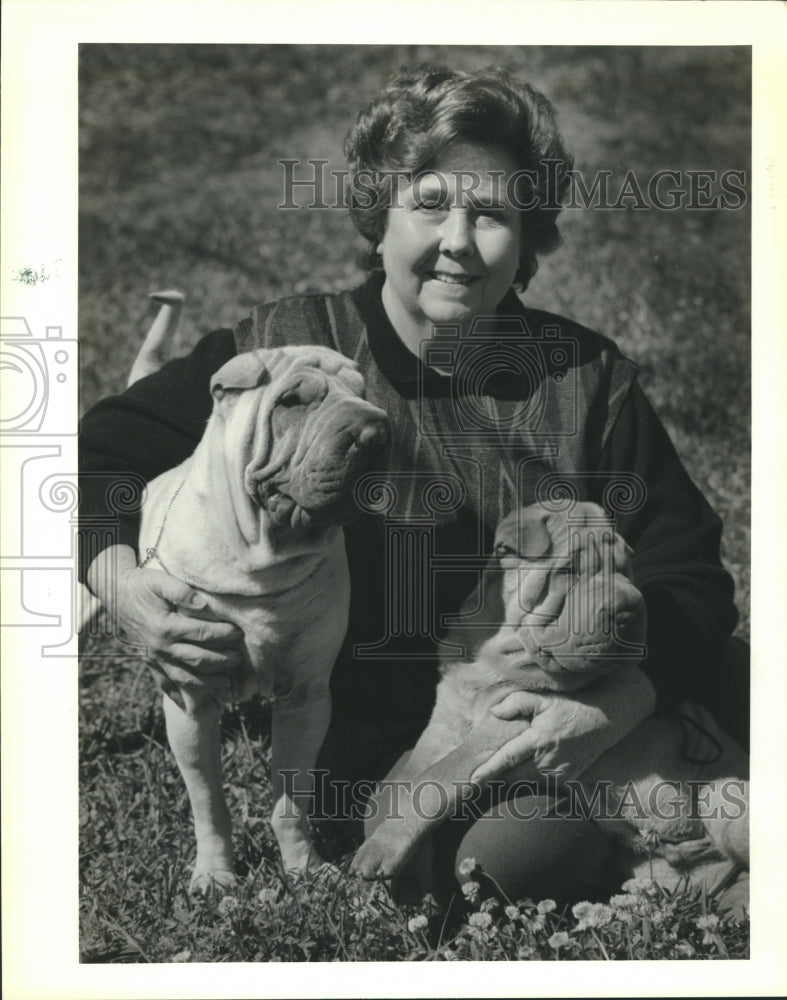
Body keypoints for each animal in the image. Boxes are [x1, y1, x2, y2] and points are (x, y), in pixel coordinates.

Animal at [141, 344, 390, 892]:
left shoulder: (306, 697)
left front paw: (306, 870)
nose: (375, 431)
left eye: (362, 394)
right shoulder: (190, 700)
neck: (263, 559)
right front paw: (214, 875)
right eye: (292, 402)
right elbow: (207, 799)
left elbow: (290, 802)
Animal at [352, 504, 752, 912]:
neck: (495, 653)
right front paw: (406, 869)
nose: (629, 611)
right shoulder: (444, 723)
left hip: (720, 796)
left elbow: (438, 778)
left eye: (626, 570)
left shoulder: (511, 723)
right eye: (569, 571)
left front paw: (384, 849)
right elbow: (413, 778)